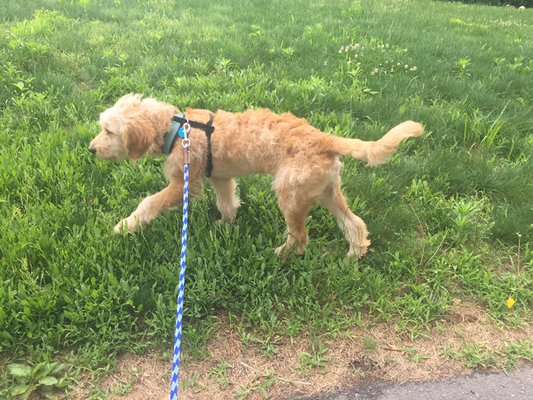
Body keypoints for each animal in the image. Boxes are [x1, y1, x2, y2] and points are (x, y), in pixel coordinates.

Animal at [90, 94, 424, 258]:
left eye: (109, 131)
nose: (91, 149)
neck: (176, 129)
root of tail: (323, 139)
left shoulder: (185, 183)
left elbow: (148, 203)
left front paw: (124, 227)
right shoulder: (220, 178)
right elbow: (227, 203)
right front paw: (224, 226)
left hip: (290, 195)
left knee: (300, 238)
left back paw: (280, 255)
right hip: (327, 191)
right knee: (354, 223)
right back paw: (353, 254)